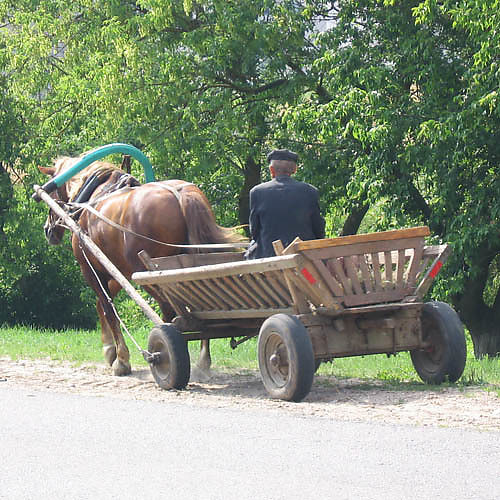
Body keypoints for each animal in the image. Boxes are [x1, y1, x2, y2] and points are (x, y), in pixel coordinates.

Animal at [40, 156, 247, 376]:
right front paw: (109, 350)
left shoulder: (92, 269)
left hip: (148, 274)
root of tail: (180, 196)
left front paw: (121, 360)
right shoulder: (118, 272)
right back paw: (203, 361)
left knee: (168, 309)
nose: (47, 230)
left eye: (52, 189)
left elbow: (108, 309)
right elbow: (101, 305)